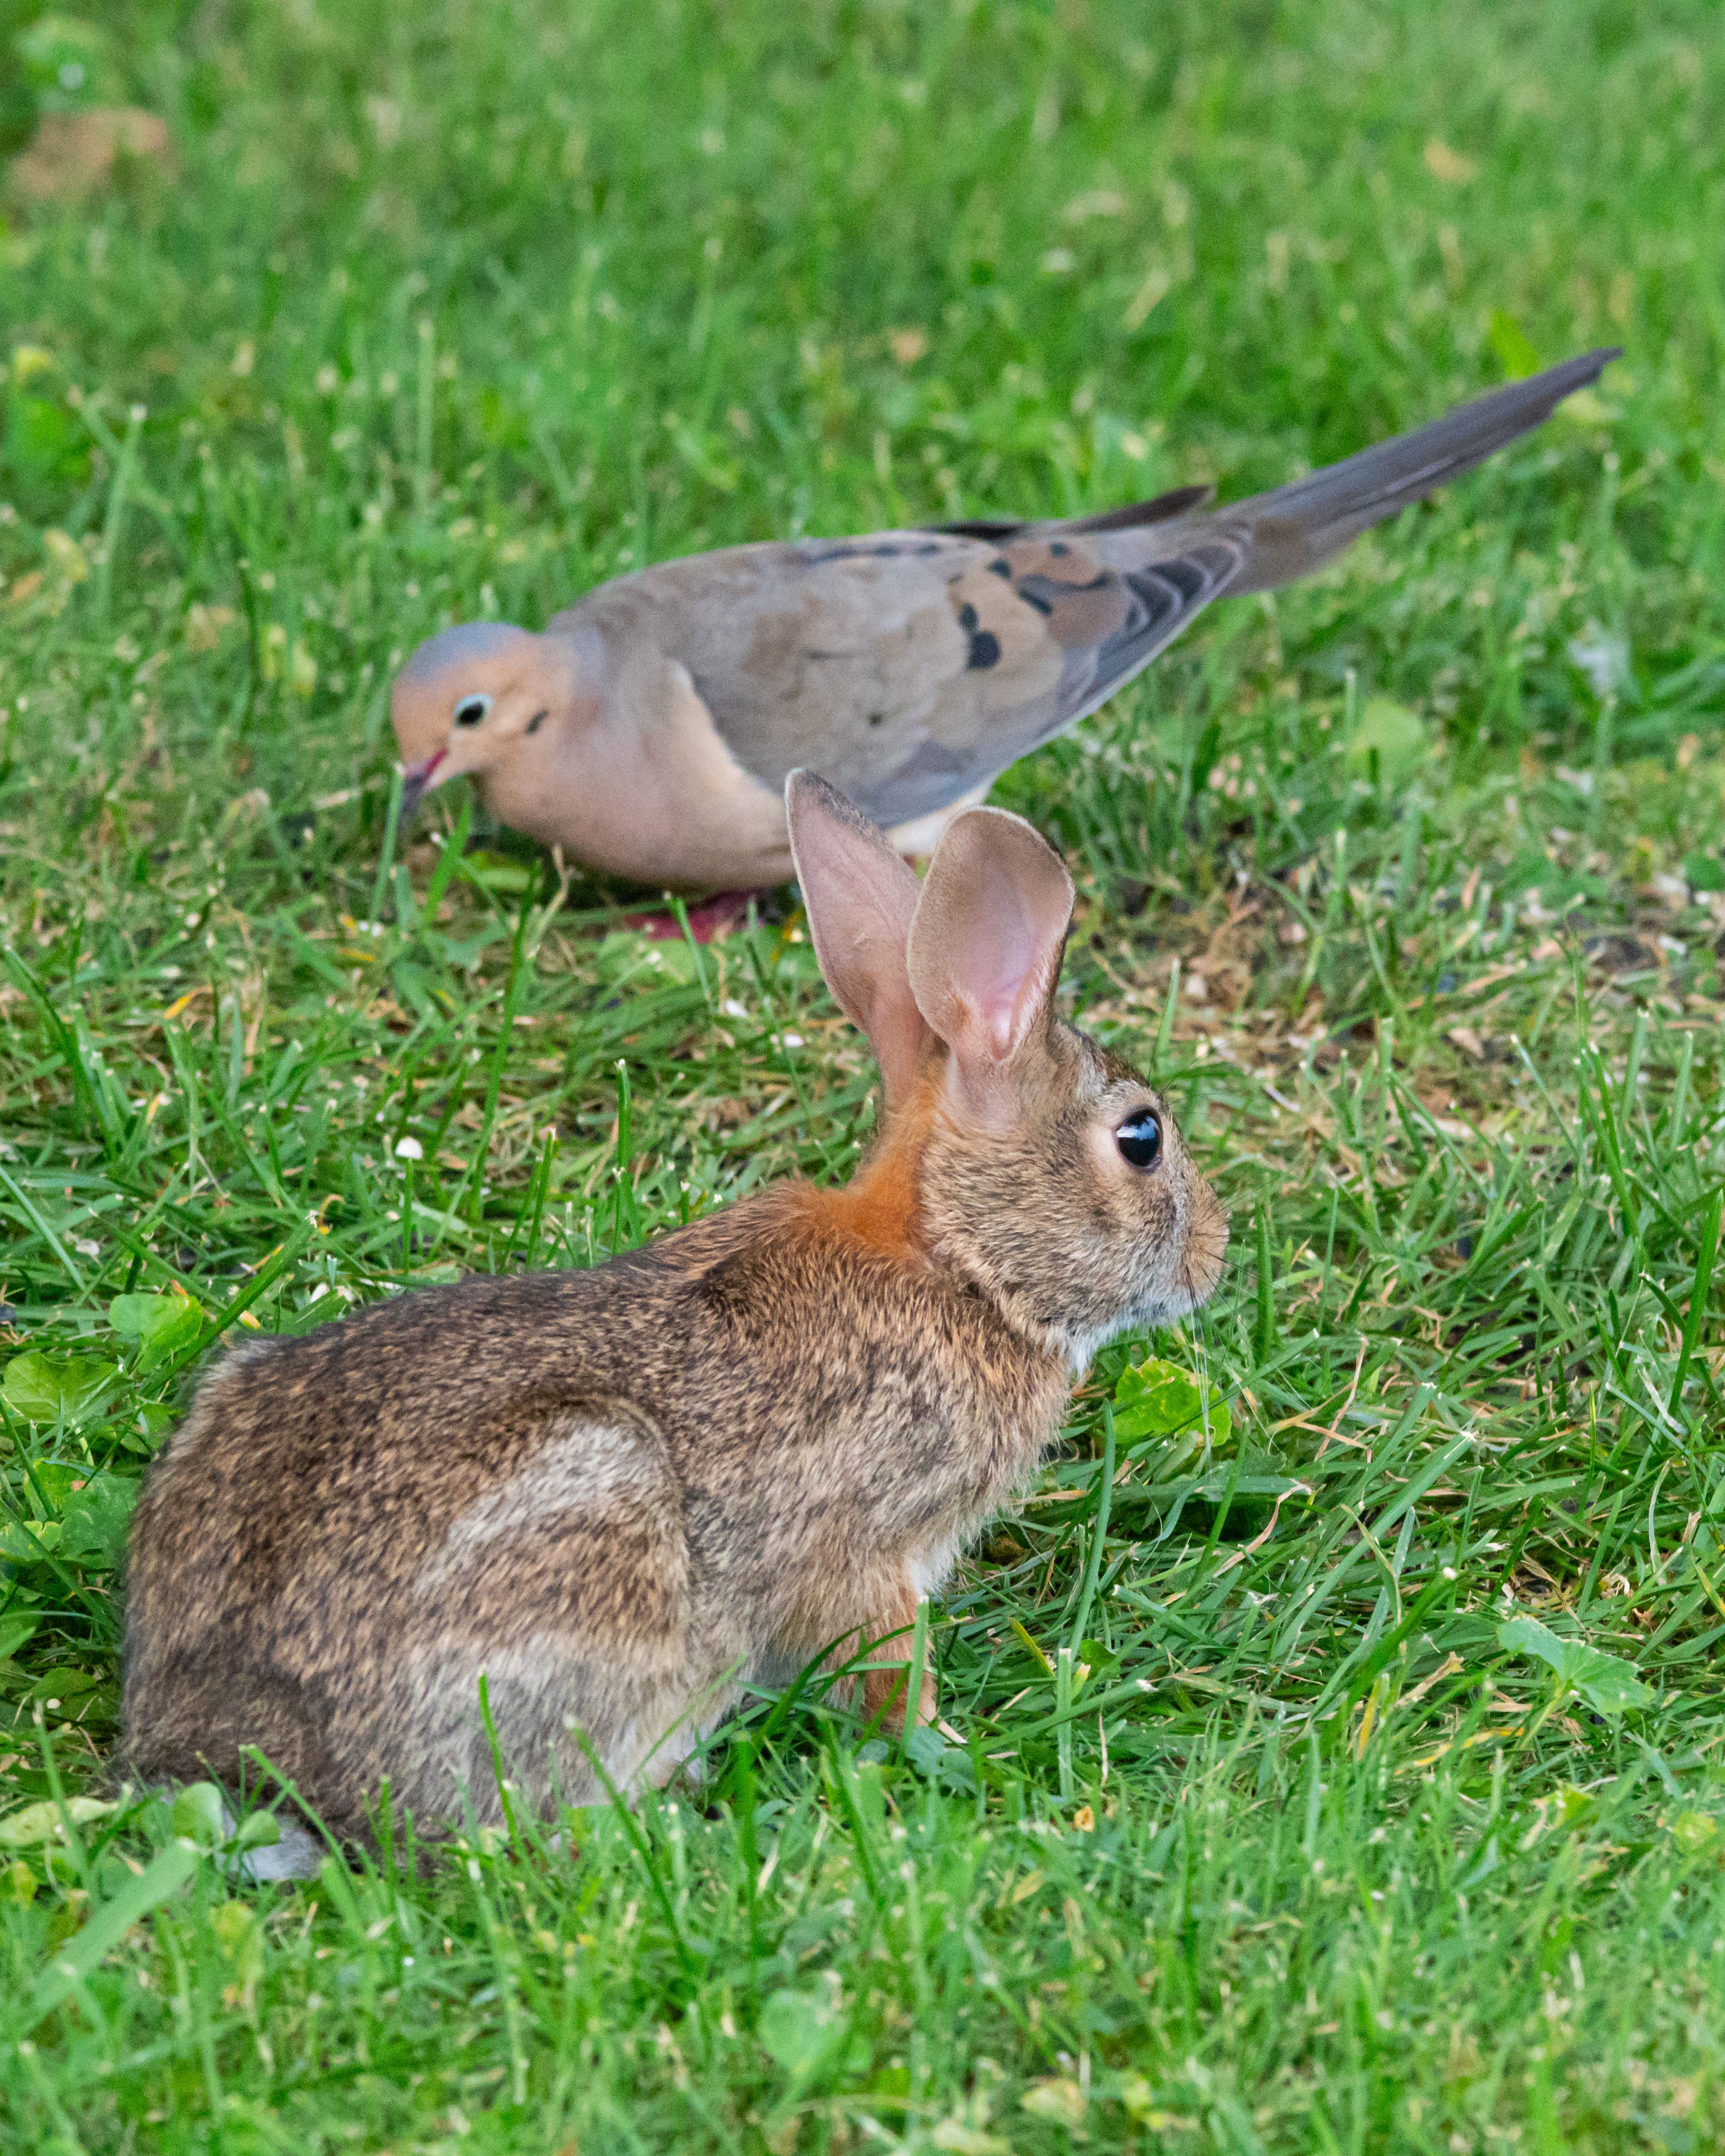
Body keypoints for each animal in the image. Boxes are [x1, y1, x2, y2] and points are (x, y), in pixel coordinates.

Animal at [122, 770, 1227, 1847]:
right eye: (1141, 1138)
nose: (1214, 1255)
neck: (957, 1258)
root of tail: (242, 1756)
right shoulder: (870, 1545)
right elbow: (884, 1665)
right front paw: (945, 1742)